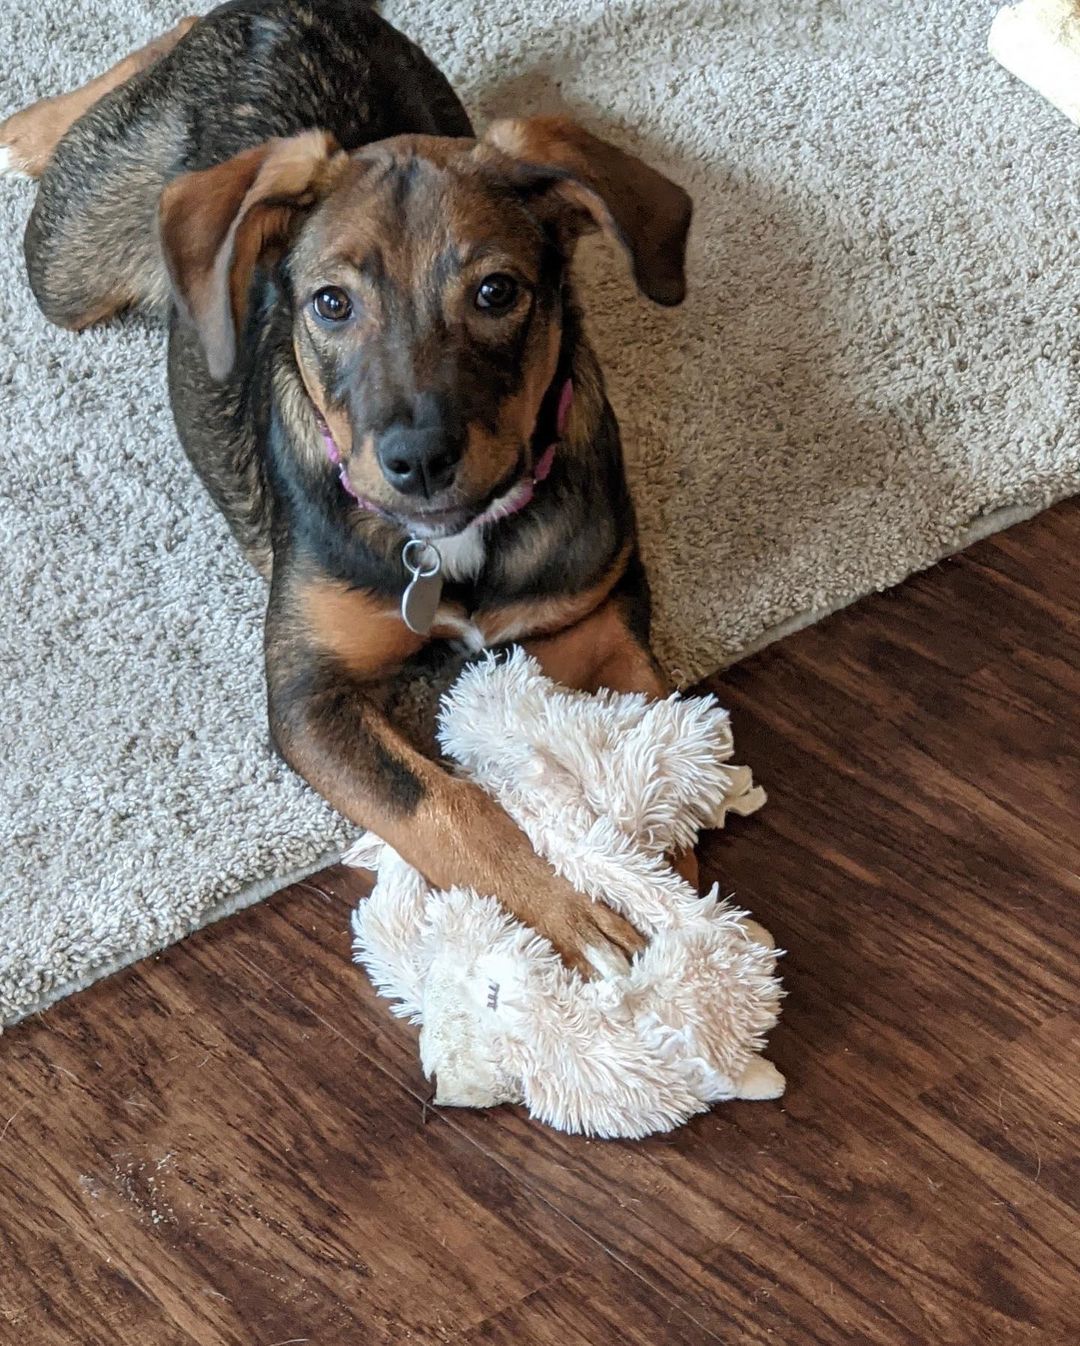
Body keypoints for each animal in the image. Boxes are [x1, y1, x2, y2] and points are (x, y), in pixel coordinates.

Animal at [2, 0, 689, 969]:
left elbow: (657, 731)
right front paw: (572, 918)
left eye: (496, 292)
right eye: (330, 304)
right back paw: (26, 130)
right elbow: (445, 806)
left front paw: (676, 891)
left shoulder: (599, 606)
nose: (419, 459)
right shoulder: (307, 695)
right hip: (65, 264)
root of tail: (282, 10)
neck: (453, 544)